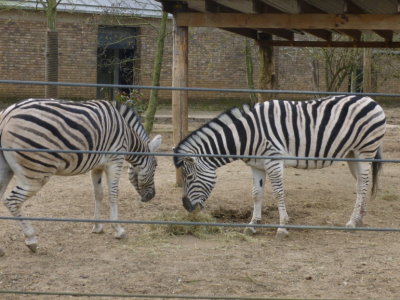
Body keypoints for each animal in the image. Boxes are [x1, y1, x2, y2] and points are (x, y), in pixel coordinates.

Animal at [0, 98, 162, 251]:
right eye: (156, 166)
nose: (151, 196)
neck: (128, 134)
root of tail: (7, 113)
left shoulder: (97, 166)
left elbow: (99, 194)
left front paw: (97, 227)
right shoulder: (115, 160)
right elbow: (113, 194)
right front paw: (118, 229)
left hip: (6, 169)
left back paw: (2, 250)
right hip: (37, 172)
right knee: (11, 200)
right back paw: (31, 239)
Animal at [173, 95, 386, 237]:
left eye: (188, 177)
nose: (186, 206)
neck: (247, 135)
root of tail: (370, 99)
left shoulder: (273, 160)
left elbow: (278, 192)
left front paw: (283, 226)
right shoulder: (257, 165)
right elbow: (256, 193)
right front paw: (253, 225)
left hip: (365, 152)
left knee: (362, 185)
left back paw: (352, 222)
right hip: (352, 155)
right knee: (362, 184)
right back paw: (359, 218)